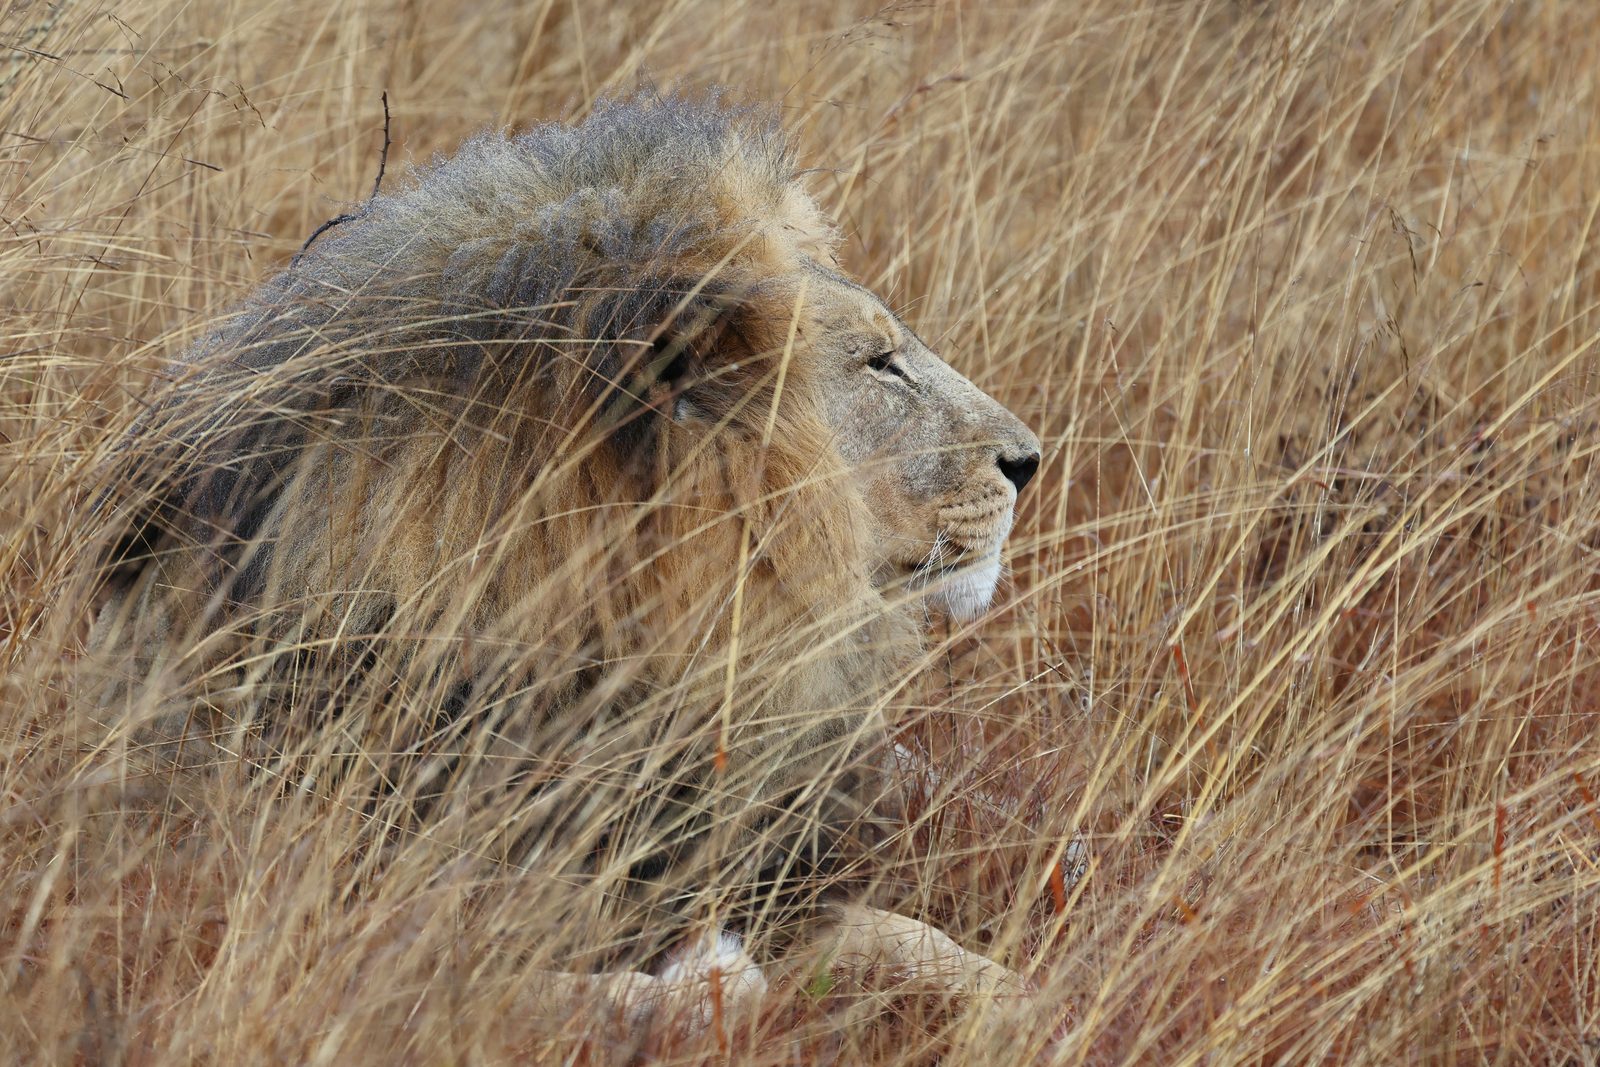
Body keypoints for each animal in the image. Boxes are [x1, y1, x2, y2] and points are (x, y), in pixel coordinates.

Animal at [88, 92, 1043, 1035]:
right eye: (881, 365)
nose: (1033, 459)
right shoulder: (355, 928)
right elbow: (642, 990)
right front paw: (699, 991)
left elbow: (914, 936)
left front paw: (1030, 1003)